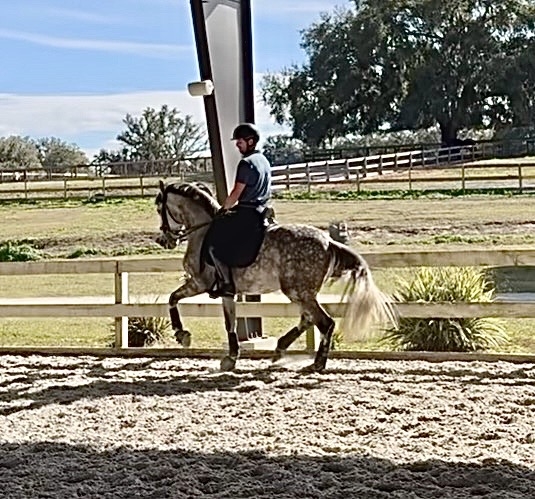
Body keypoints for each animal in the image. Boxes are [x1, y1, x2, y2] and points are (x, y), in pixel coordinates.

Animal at [155, 181, 396, 372]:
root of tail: (329, 242)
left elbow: (172, 298)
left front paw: (181, 334)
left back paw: (316, 363)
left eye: (159, 208)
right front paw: (231, 357)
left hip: (297, 291)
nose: (164, 240)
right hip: (302, 292)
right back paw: (281, 348)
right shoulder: (226, 292)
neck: (203, 231)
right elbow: (229, 323)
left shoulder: (199, 282)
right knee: (308, 319)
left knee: (324, 322)